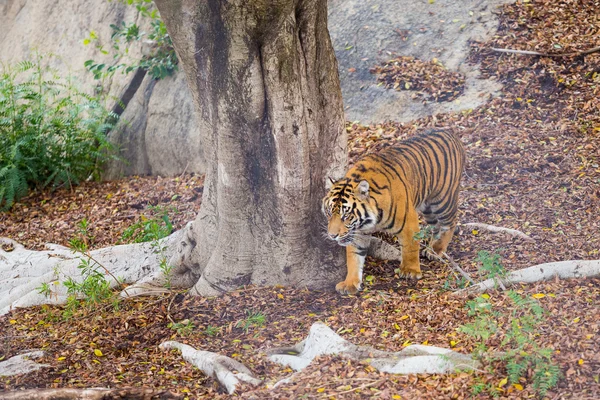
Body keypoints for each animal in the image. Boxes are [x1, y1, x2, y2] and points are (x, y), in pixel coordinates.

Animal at [324, 130, 464, 296]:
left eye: (346, 216)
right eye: (329, 213)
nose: (332, 236)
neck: (370, 221)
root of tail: (449, 131)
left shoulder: (408, 221)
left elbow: (410, 247)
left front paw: (410, 271)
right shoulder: (358, 232)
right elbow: (354, 258)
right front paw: (350, 283)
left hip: (442, 201)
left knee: (450, 222)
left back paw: (437, 250)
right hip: (427, 207)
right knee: (436, 226)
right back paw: (431, 247)